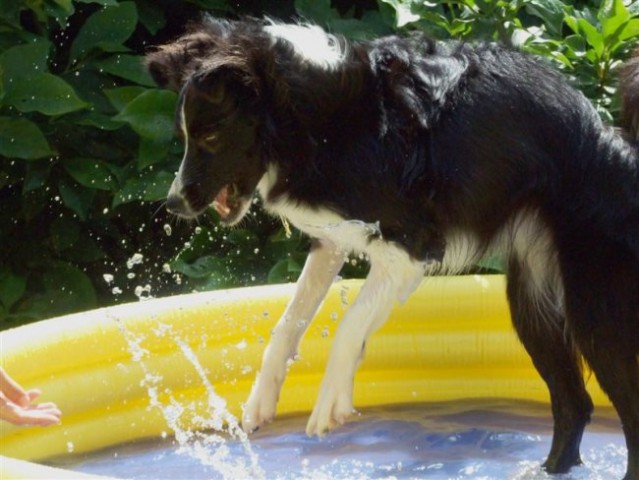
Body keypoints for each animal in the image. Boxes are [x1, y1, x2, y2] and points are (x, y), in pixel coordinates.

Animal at [146, 16, 639, 478]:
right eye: (184, 137)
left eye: (210, 137)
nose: (173, 204)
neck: (315, 114)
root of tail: (613, 145)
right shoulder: (334, 238)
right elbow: (288, 324)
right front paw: (260, 402)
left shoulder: (411, 246)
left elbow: (349, 324)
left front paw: (330, 404)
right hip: (533, 301)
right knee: (574, 405)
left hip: (597, 309)